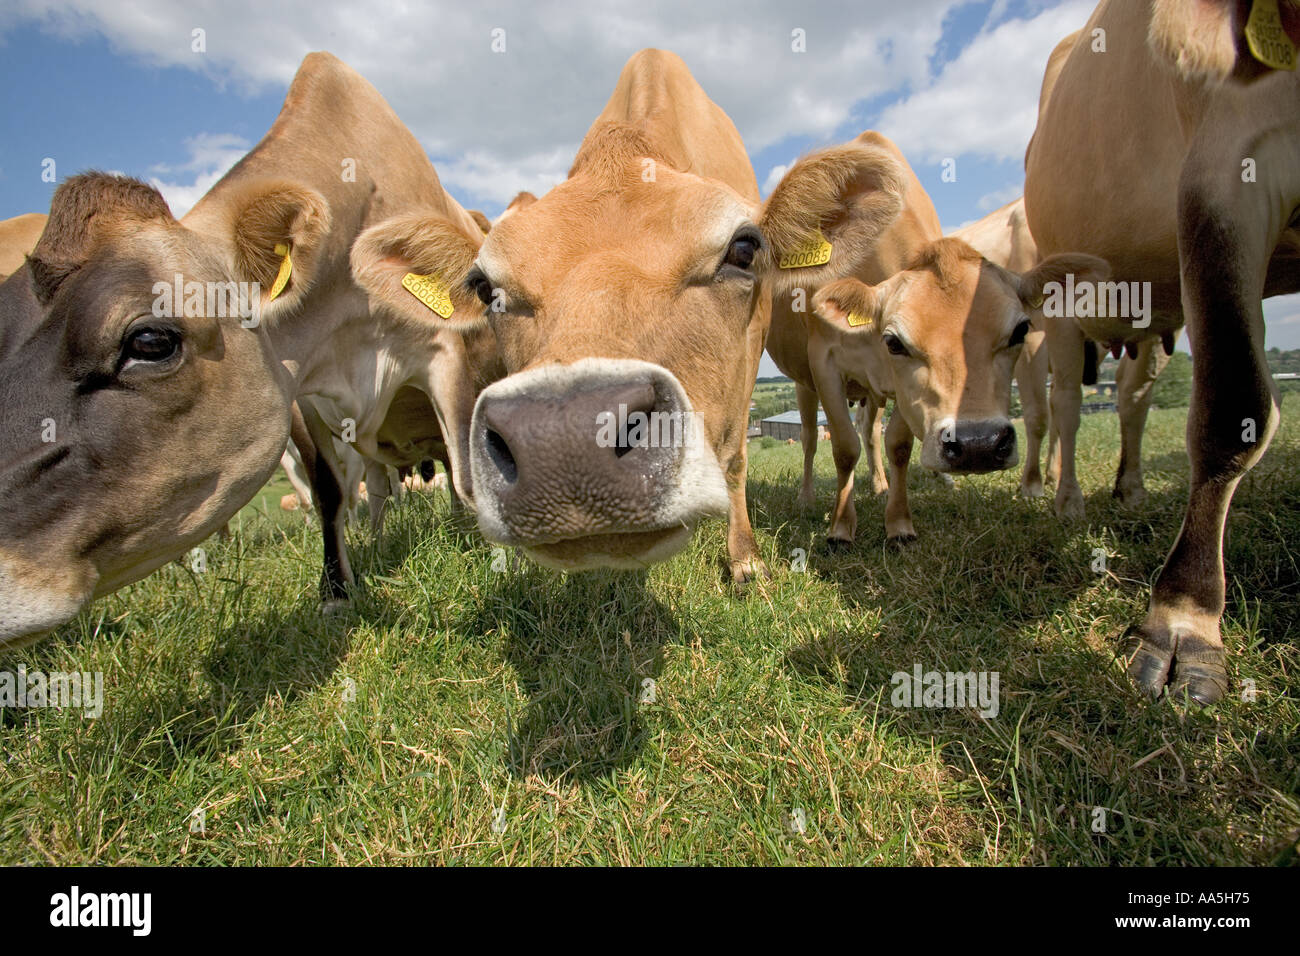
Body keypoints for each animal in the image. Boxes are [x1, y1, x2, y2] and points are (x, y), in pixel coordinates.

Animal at [0, 52, 494, 648]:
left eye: (150, 341)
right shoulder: (300, 392)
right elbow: (329, 490)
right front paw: (336, 592)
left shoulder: (448, 355)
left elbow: (467, 473)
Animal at [766, 134, 1106, 545]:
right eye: (895, 342)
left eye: (1020, 330)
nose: (978, 445)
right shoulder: (824, 359)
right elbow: (844, 447)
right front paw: (841, 528)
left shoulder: (901, 390)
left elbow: (898, 444)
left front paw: (899, 524)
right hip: (804, 383)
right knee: (810, 437)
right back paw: (807, 497)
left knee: (871, 432)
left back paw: (888, 484)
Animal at [1028, 0, 1300, 704]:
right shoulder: (1226, 165)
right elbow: (1234, 408)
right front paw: (1183, 625)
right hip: (1063, 296)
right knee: (1065, 409)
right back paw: (1067, 500)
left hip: (1151, 317)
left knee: (1132, 403)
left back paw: (1129, 487)